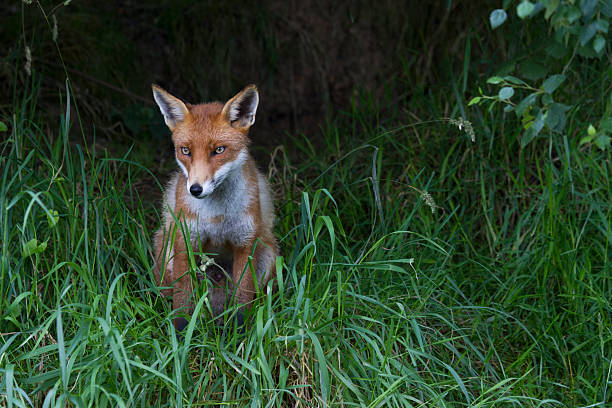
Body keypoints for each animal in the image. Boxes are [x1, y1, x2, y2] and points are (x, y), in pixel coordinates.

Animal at [152, 84, 278, 330]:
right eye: (185, 150)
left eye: (219, 150)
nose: (195, 189)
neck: (216, 216)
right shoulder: (185, 244)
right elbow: (182, 303)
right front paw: (180, 335)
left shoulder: (244, 246)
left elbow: (242, 301)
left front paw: (239, 333)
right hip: (165, 253)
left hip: (268, 256)